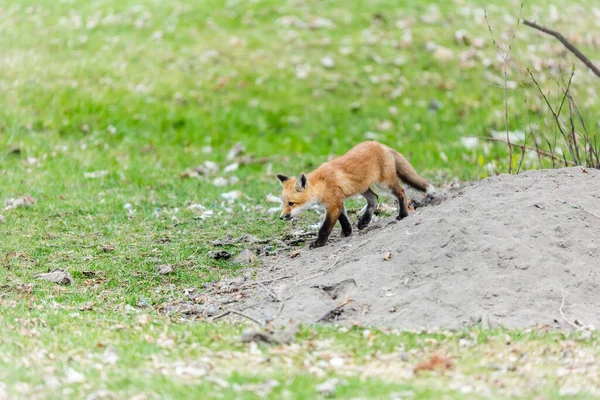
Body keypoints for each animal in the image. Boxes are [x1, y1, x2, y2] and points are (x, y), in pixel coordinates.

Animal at [274, 140, 434, 247]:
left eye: (291, 203)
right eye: (284, 203)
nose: (281, 217)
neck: (321, 186)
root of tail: (382, 145)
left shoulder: (333, 205)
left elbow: (325, 227)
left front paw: (319, 242)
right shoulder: (337, 202)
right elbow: (343, 218)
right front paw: (347, 232)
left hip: (385, 184)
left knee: (401, 192)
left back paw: (403, 214)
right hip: (362, 187)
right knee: (374, 199)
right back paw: (364, 222)